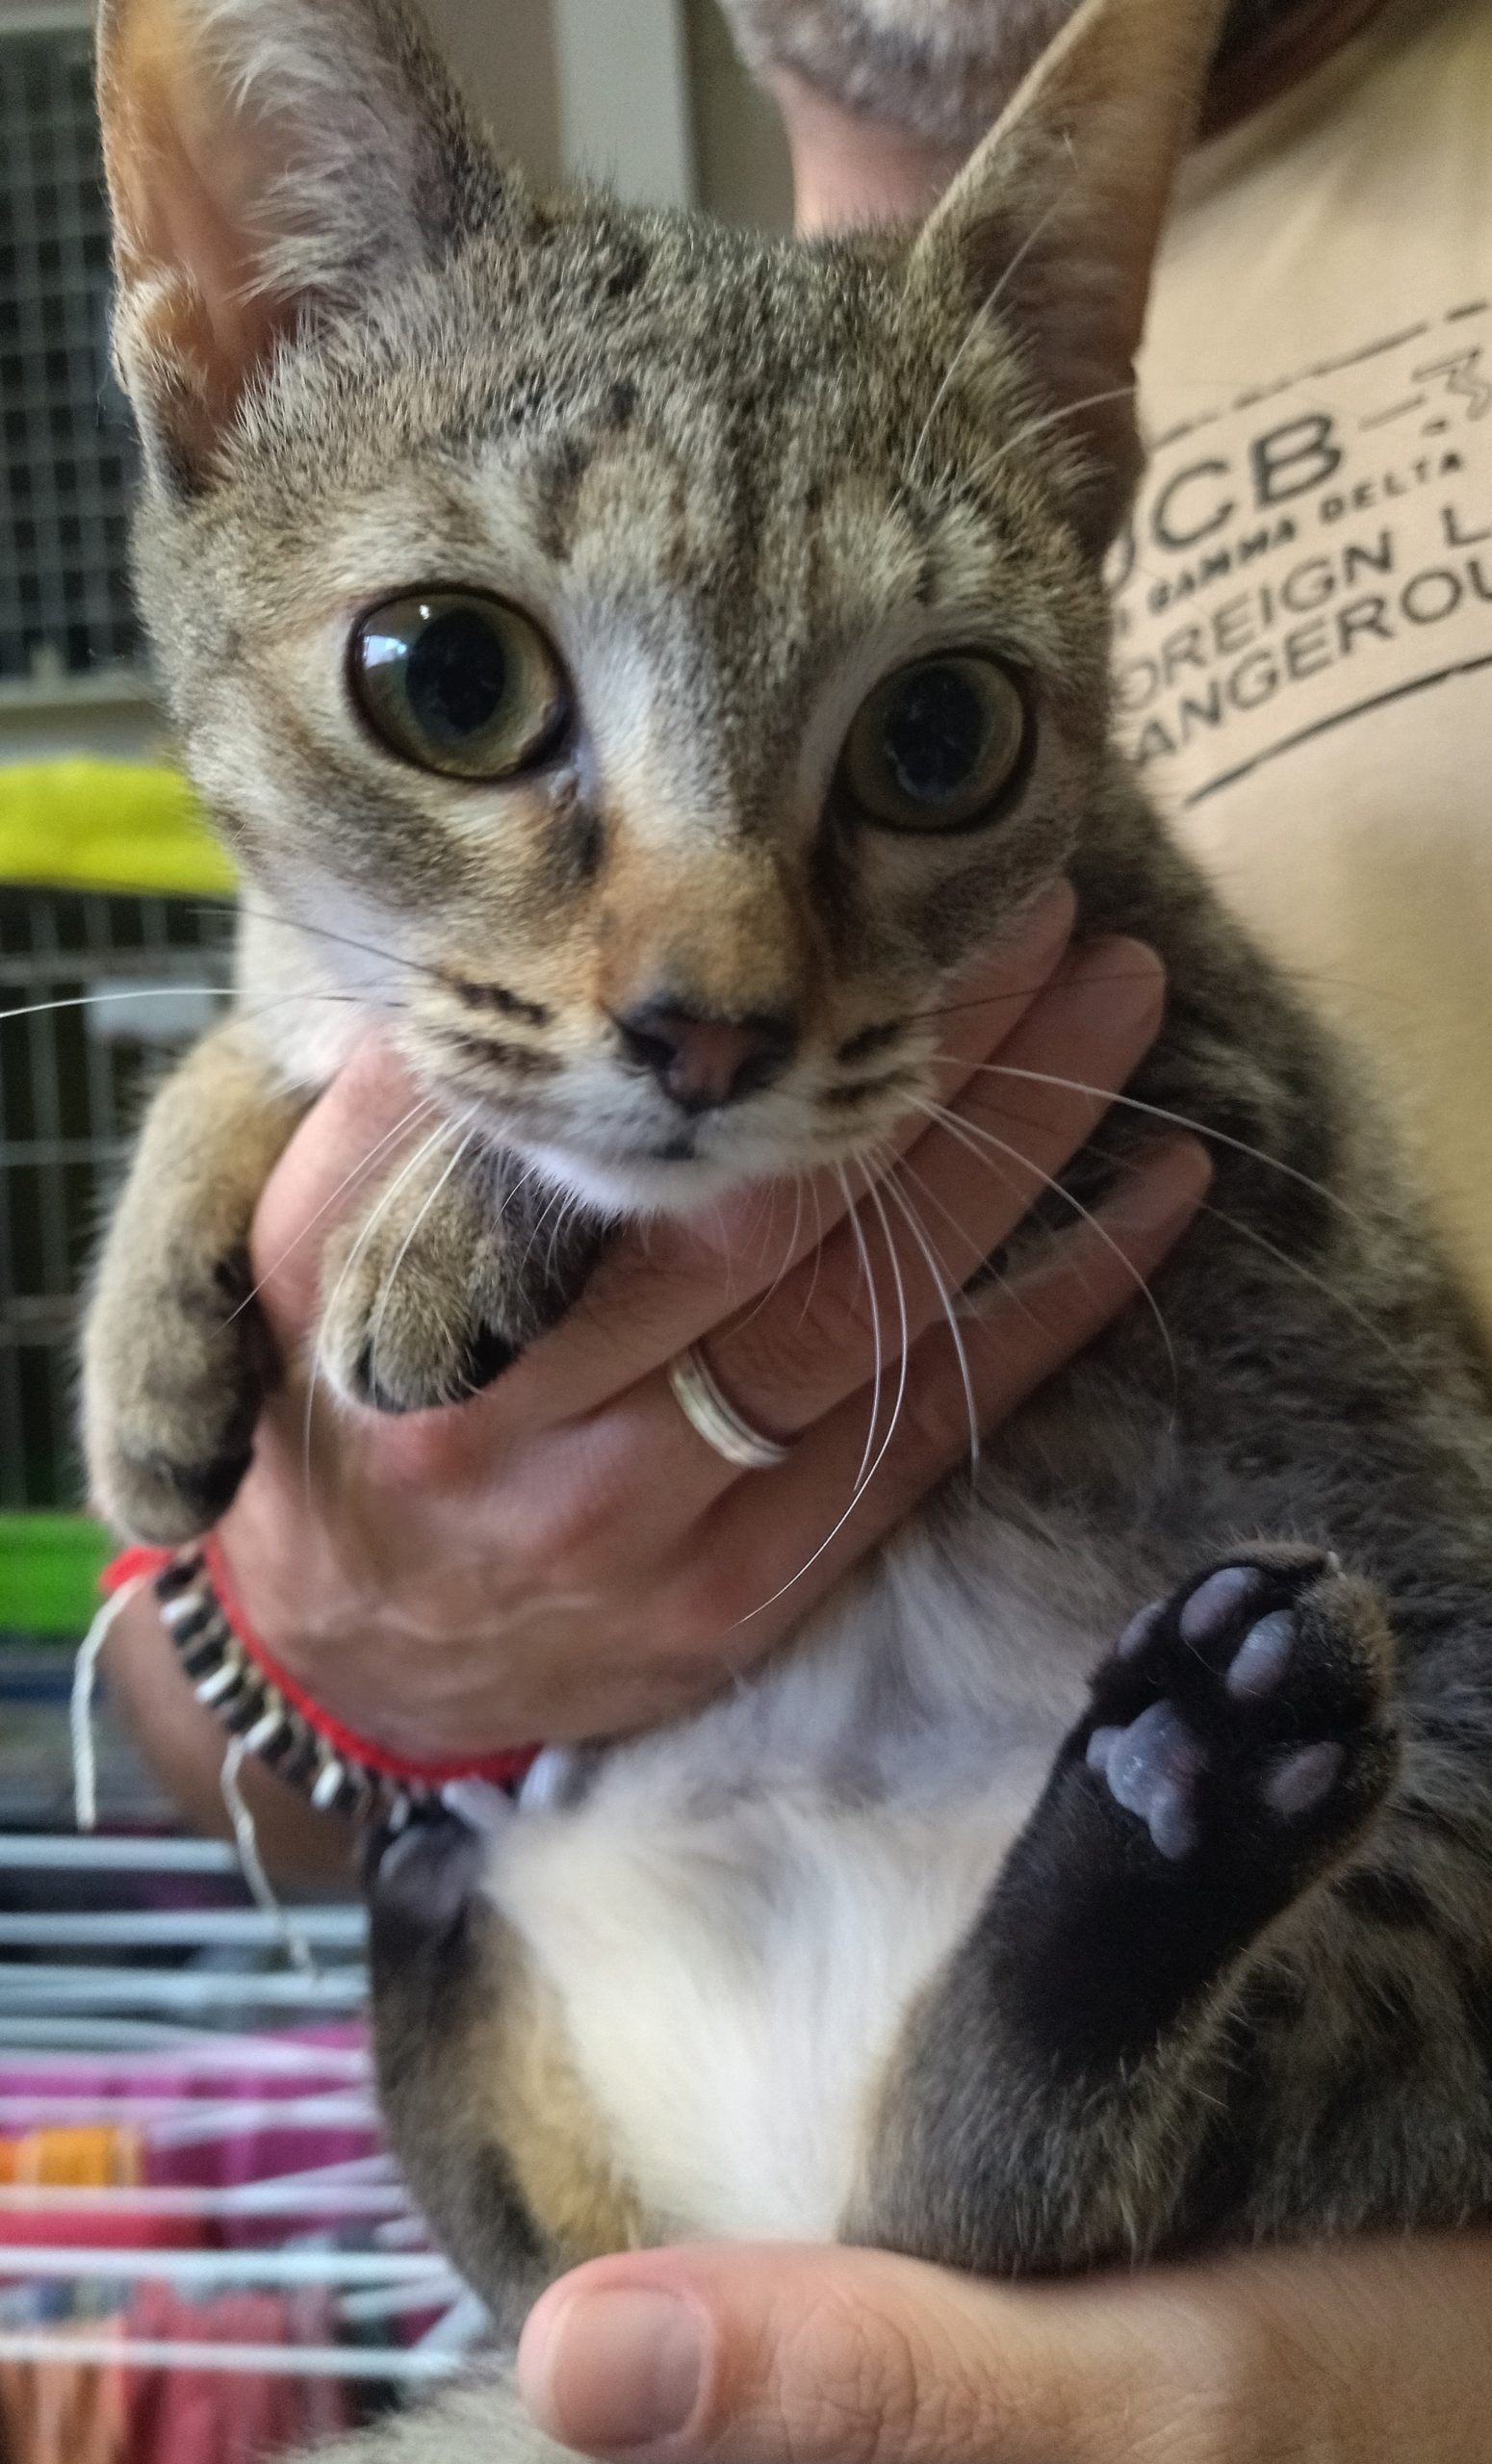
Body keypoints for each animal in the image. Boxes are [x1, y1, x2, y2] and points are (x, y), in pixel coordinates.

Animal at [84, 0, 1492, 2454]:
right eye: (444, 675)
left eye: (941, 731)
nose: (707, 1023)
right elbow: (286, 1024)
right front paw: (158, 1311)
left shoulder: (1169, 1080)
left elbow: (694, 1116)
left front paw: (445, 1206)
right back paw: (437, 1896)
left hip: (1431, 1908)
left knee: (1018, 2195)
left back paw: (1170, 1810)